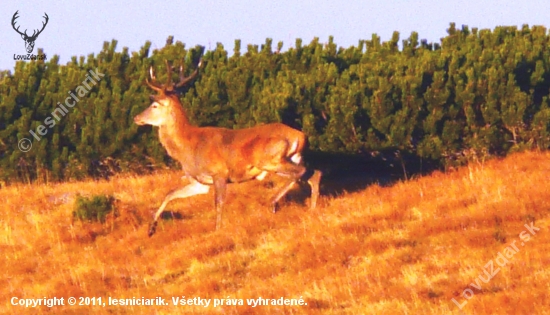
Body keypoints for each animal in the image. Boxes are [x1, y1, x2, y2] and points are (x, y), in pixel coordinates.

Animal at [135, 59, 324, 237]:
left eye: (154, 105)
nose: (137, 118)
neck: (188, 146)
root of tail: (300, 136)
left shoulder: (219, 172)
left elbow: (218, 203)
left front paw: (217, 229)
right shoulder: (199, 182)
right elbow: (170, 193)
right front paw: (151, 228)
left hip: (270, 159)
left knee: (302, 172)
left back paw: (272, 203)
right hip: (289, 159)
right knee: (313, 173)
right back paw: (312, 208)